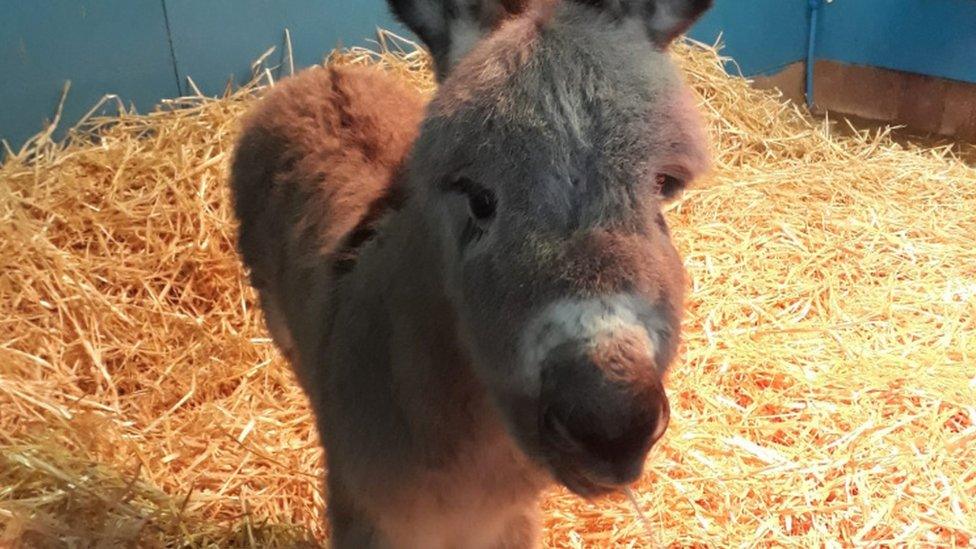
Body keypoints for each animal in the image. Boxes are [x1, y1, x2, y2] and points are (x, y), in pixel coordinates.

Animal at [233, 0, 712, 544]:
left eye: (664, 185)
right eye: (479, 199)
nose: (610, 425)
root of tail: (318, 74)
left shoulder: (511, 524)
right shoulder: (366, 516)